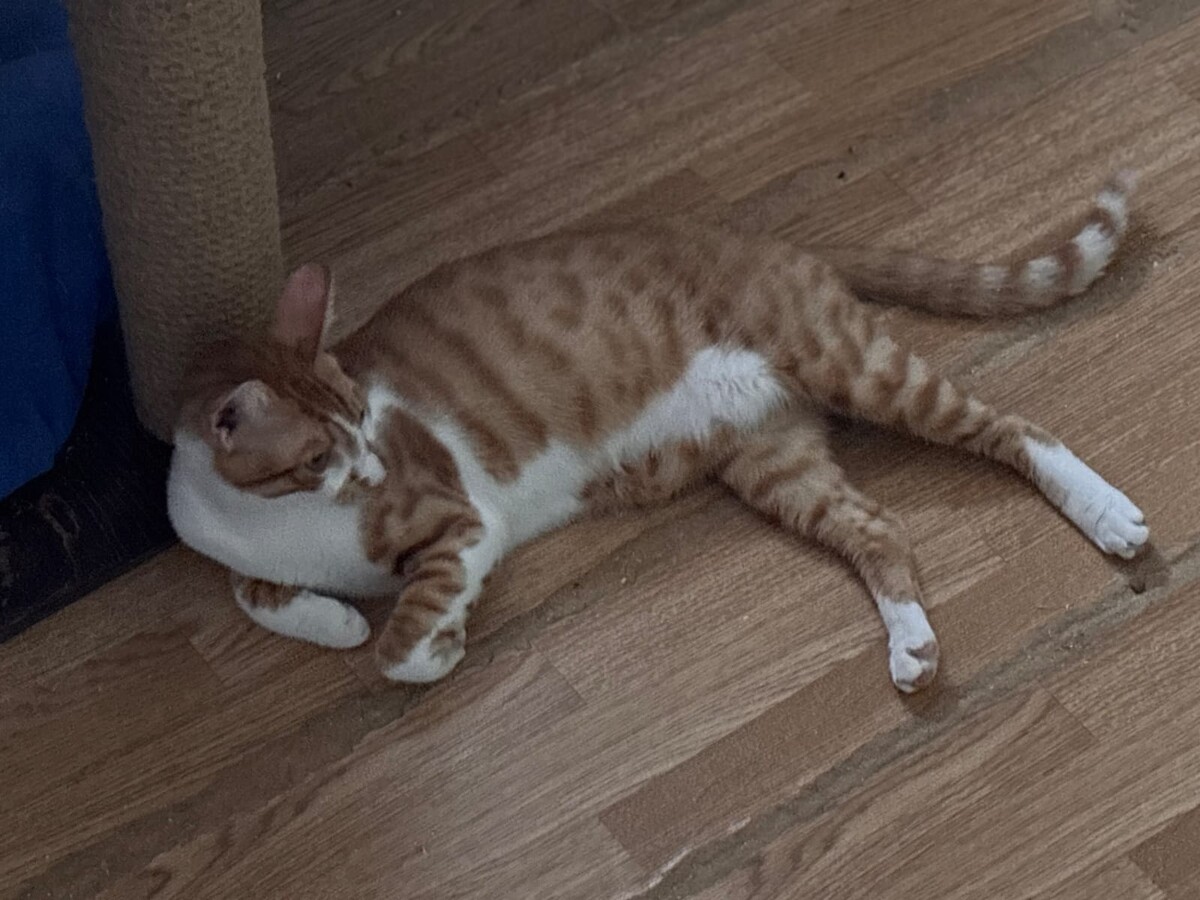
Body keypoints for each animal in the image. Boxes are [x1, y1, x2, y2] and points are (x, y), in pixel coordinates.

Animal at [167, 171, 1147, 693]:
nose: (369, 464)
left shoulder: (460, 521)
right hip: (774, 462)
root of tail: (776, 243)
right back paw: (911, 644)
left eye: (364, 417)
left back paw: (1107, 513)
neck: (283, 520)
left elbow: (398, 648)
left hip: (858, 369)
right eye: (321, 450)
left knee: (1017, 428)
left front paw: (433, 642)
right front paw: (333, 620)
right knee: (878, 528)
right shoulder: (226, 547)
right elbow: (251, 595)